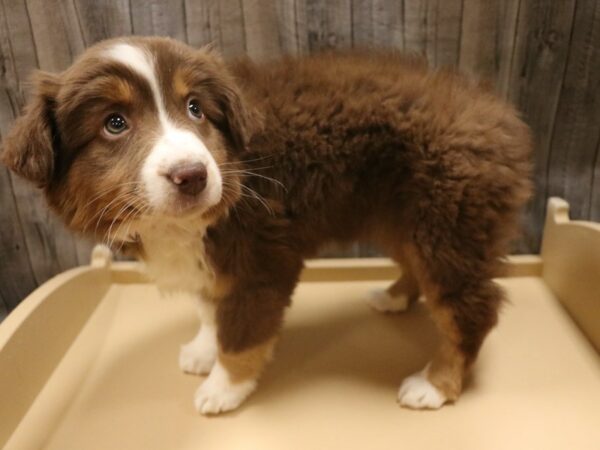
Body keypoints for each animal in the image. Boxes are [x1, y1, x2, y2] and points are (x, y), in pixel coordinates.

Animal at [1, 37, 536, 414]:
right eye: (114, 123)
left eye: (196, 108)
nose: (192, 176)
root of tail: (498, 112)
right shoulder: (212, 260)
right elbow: (209, 308)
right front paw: (204, 349)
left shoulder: (261, 261)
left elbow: (242, 333)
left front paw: (223, 388)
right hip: (405, 218)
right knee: (417, 269)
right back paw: (394, 295)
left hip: (448, 225)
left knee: (471, 310)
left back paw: (436, 384)